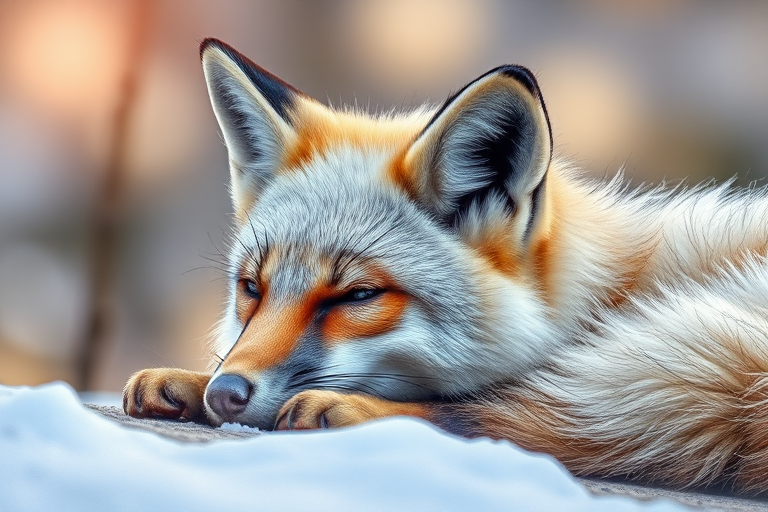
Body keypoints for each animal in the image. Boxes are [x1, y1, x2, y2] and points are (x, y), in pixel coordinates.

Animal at [124, 38, 768, 494]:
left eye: (356, 296)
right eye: (251, 288)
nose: (226, 395)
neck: (624, 290)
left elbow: (492, 406)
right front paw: (193, 381)